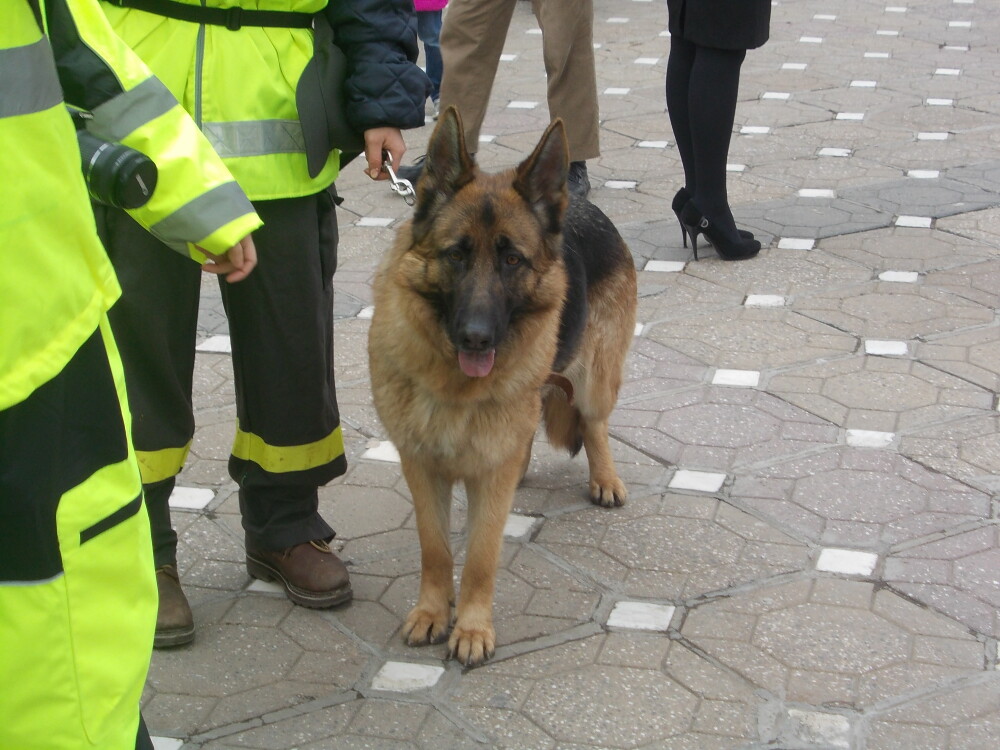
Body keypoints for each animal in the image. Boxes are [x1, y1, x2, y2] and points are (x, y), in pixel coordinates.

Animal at [372, 108, 636, 668]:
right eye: (456, 255)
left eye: (512, 260)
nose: (476, 336)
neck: (455, 388)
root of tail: (580, 203)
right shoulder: (420, 466)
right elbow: (436, 547)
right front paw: (433, 612)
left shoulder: (489, 478)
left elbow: (480, 556)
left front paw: (472, 628)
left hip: (596, 378)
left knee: (594, 423)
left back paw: (604, 477)